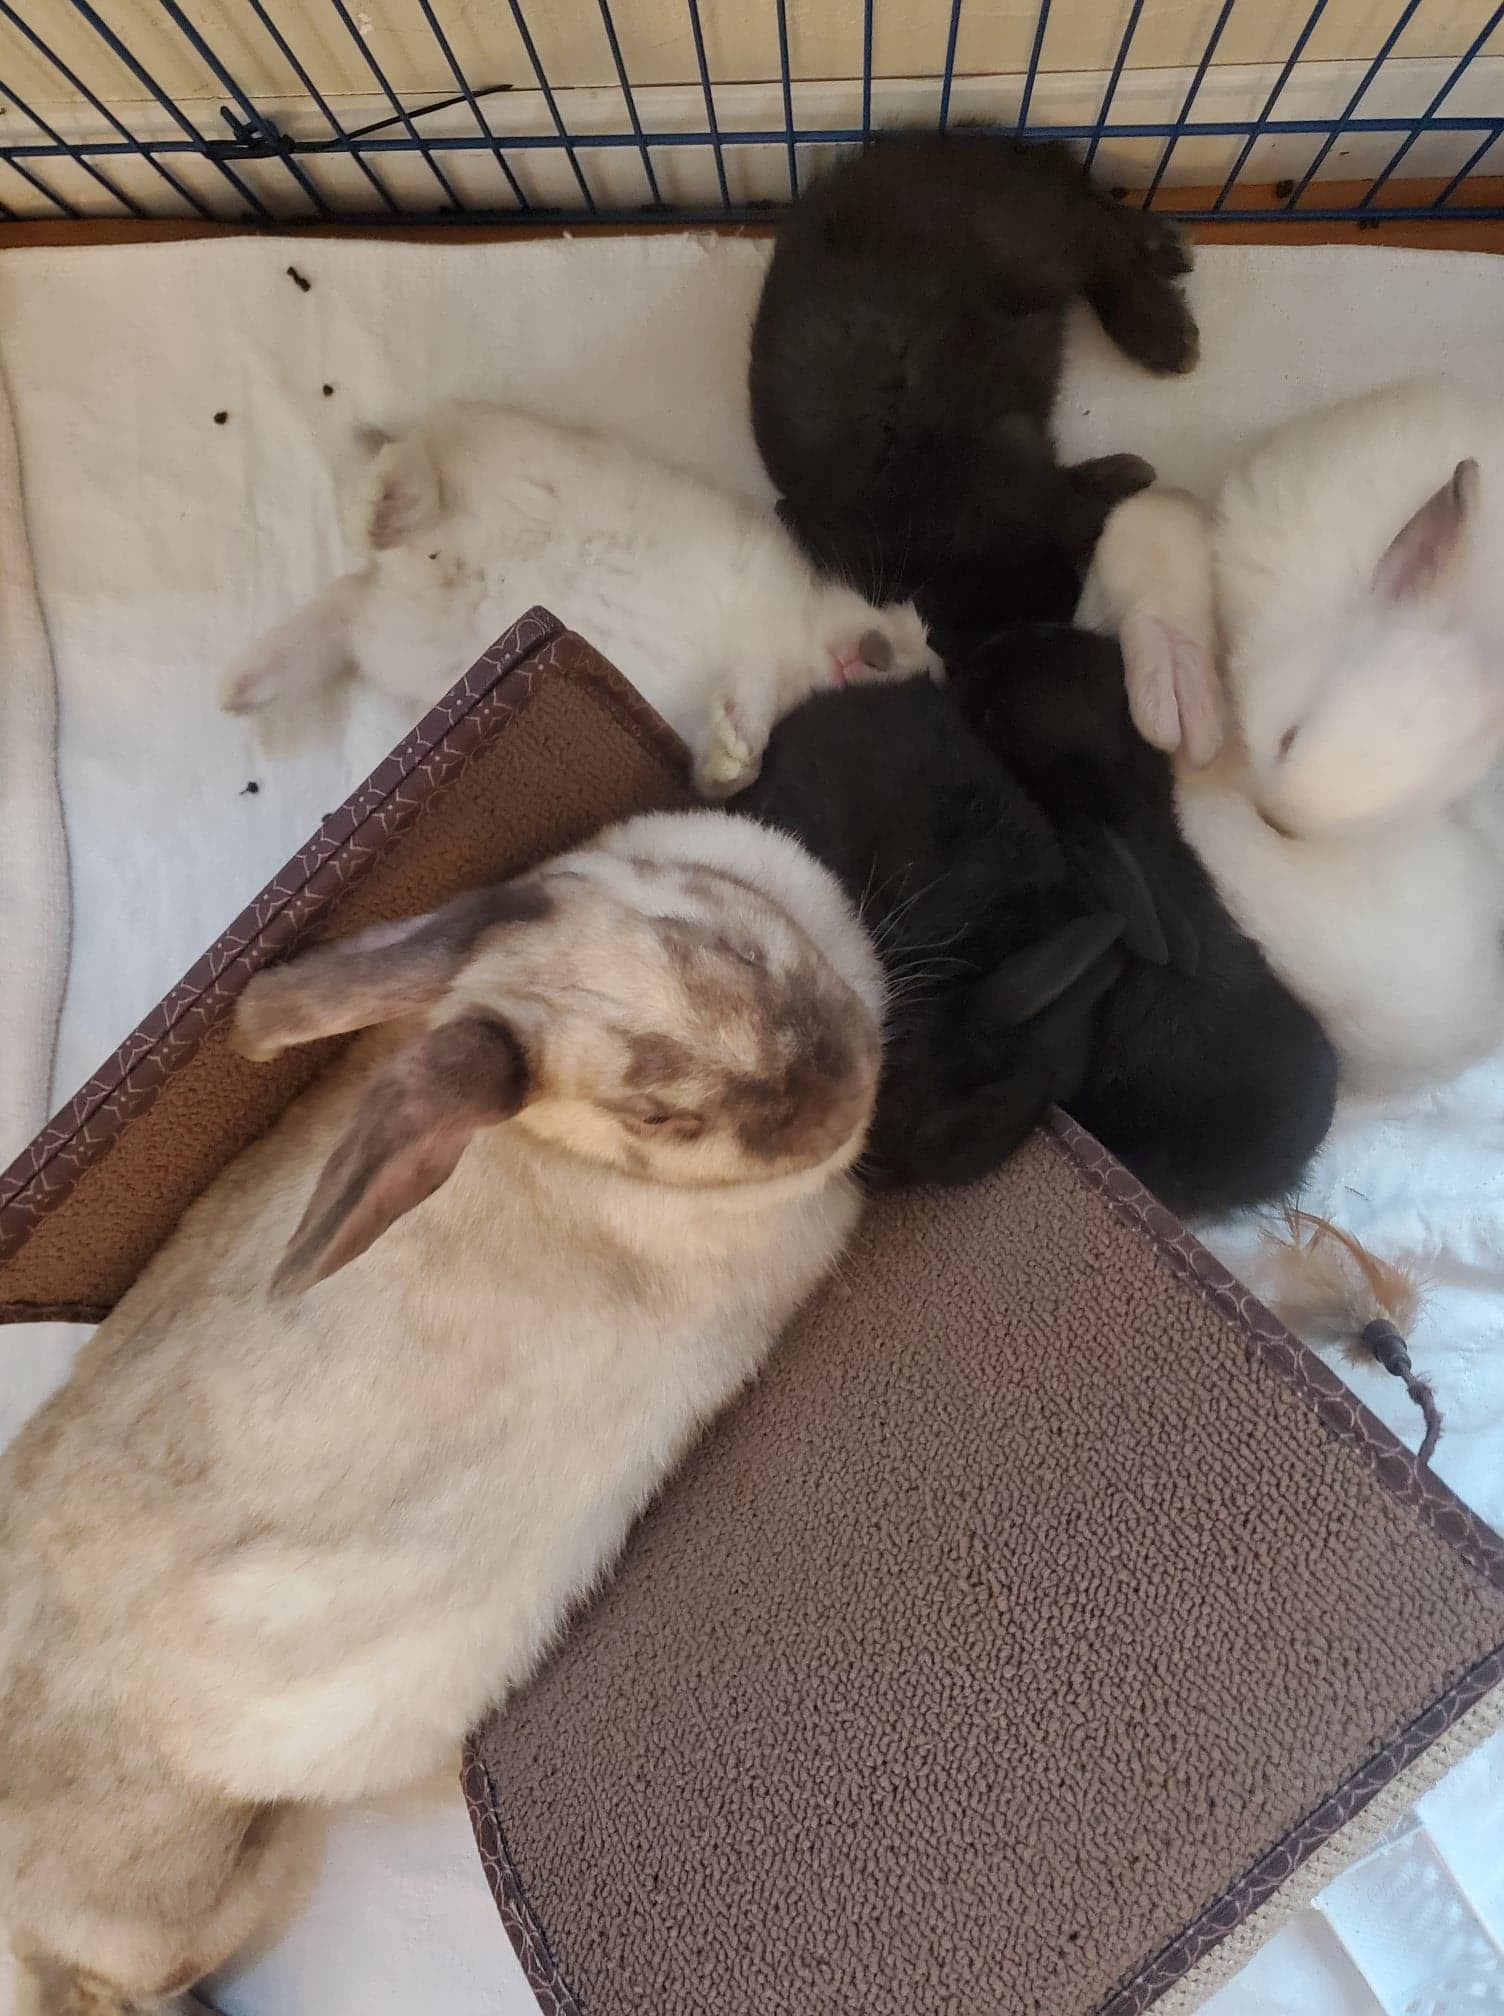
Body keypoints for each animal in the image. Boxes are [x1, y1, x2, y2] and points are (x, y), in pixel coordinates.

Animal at [218, 401, 939, 798]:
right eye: (891, 617)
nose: (874, 652)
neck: (797, 643)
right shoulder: (765, 648)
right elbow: (752, 701)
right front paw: (738, 747)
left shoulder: (749, 677)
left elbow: (737, 740)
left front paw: (731, 757)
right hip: (496, 480)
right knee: (410, 493)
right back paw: (385, 499)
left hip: (405, 629)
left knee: (348, 602)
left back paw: (241, 686)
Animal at [747, 129, 1198, 632]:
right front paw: (1126, 478)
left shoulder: (1013, 459)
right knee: (1079, 195)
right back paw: (1163, 247)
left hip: (1028, 250)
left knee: (1095, 237)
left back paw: (1166, 331)